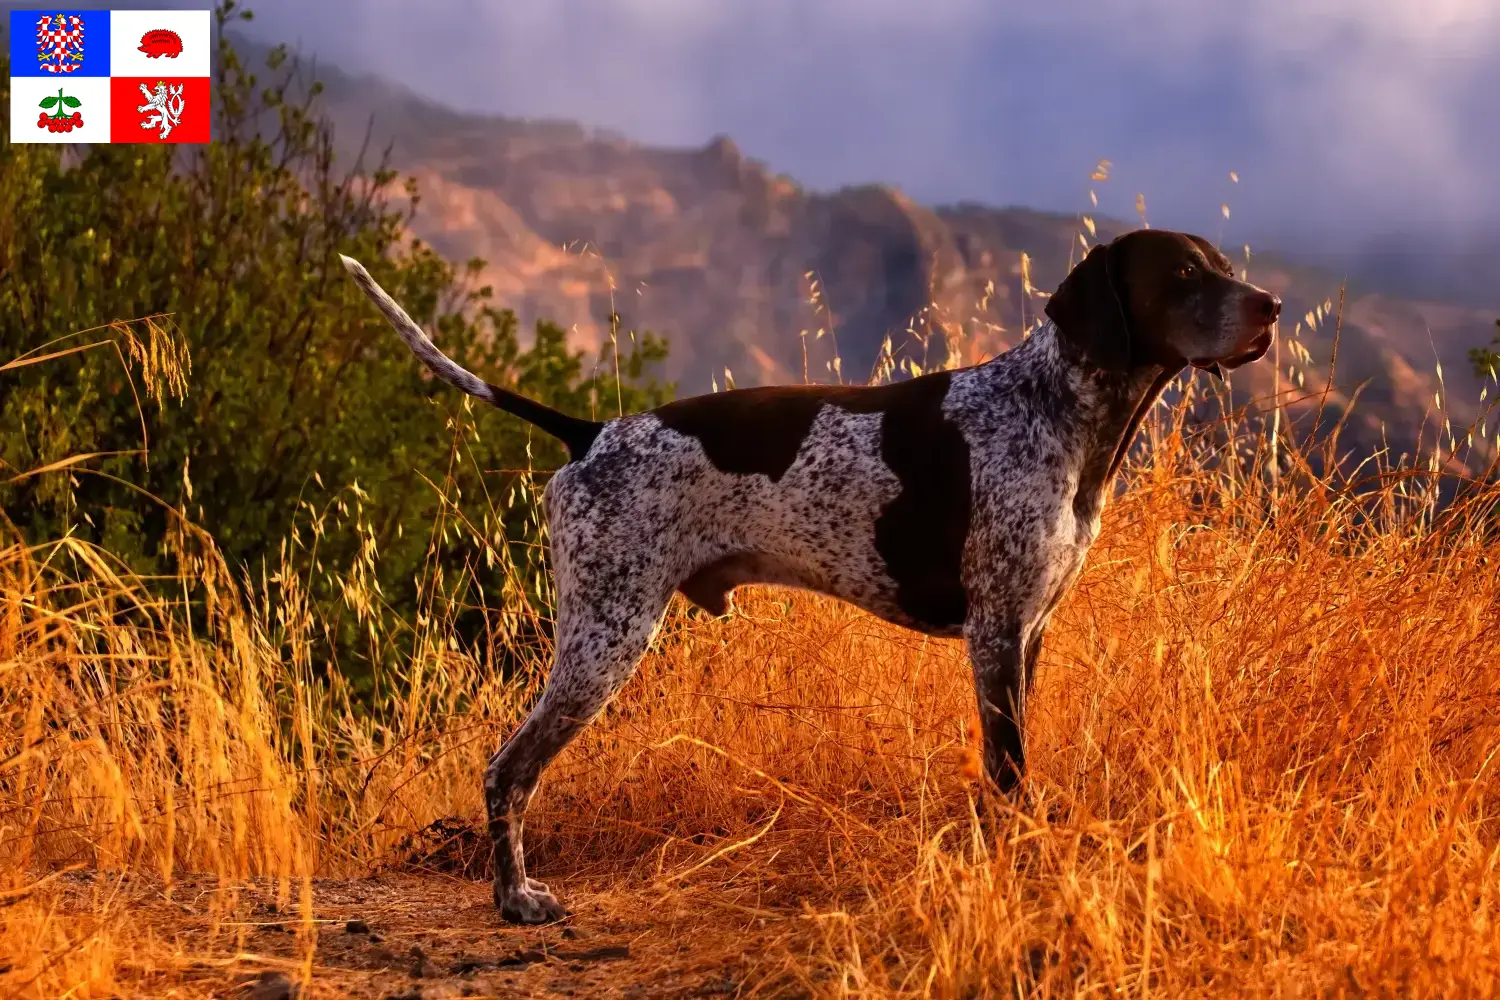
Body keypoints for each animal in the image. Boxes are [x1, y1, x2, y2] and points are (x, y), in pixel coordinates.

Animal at [343, 226, 1278, 923]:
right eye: (1184, 274)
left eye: (1221, 266)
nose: (1271, 306)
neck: (1055, 408)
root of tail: (593, 432)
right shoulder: (995, 634)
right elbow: (1007, 773)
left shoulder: (1027, 633)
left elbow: (1014, 769)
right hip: (604, 637)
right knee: (508, 771)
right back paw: (515, 899)